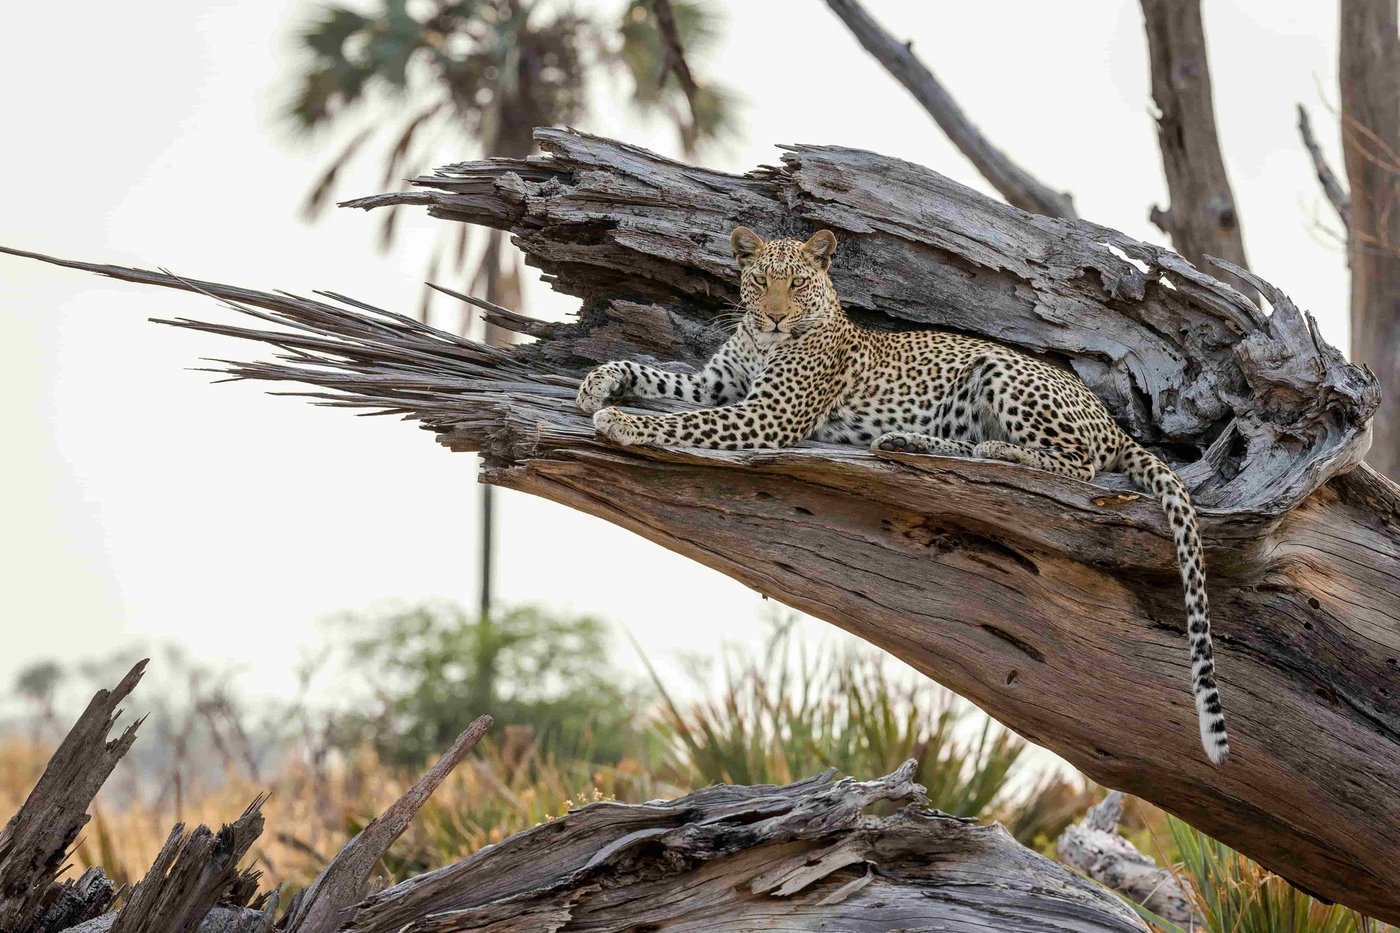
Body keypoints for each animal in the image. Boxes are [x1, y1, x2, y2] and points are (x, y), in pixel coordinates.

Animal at [577, 226, 1229, 765]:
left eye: (798, 284)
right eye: (761, 281)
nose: (775, 318)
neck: (764, 344)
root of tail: (1109, 417)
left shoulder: (767, 415)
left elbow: (683, 423)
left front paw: (622, 421)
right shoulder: (718, 384)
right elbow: (655, 374)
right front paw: (598, 384)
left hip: (1003, 371)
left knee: (1080, 467)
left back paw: (997, 452)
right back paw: (910, 440)